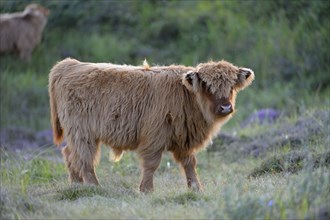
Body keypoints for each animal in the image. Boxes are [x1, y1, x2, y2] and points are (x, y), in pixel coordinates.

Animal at [49, 58, 255, 192]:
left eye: (231, 86)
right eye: (207, 86)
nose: (226, 107)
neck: (187, 96)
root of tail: (70, 64)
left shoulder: (184, 140)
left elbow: (189, 164)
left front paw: (196, 188)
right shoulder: (154, 137)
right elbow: (152, 165)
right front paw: (146, 189)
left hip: (78, 134)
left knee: (70, 154)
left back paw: (77, 186)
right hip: (82, 132)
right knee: (84, 159)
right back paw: (94, 187)